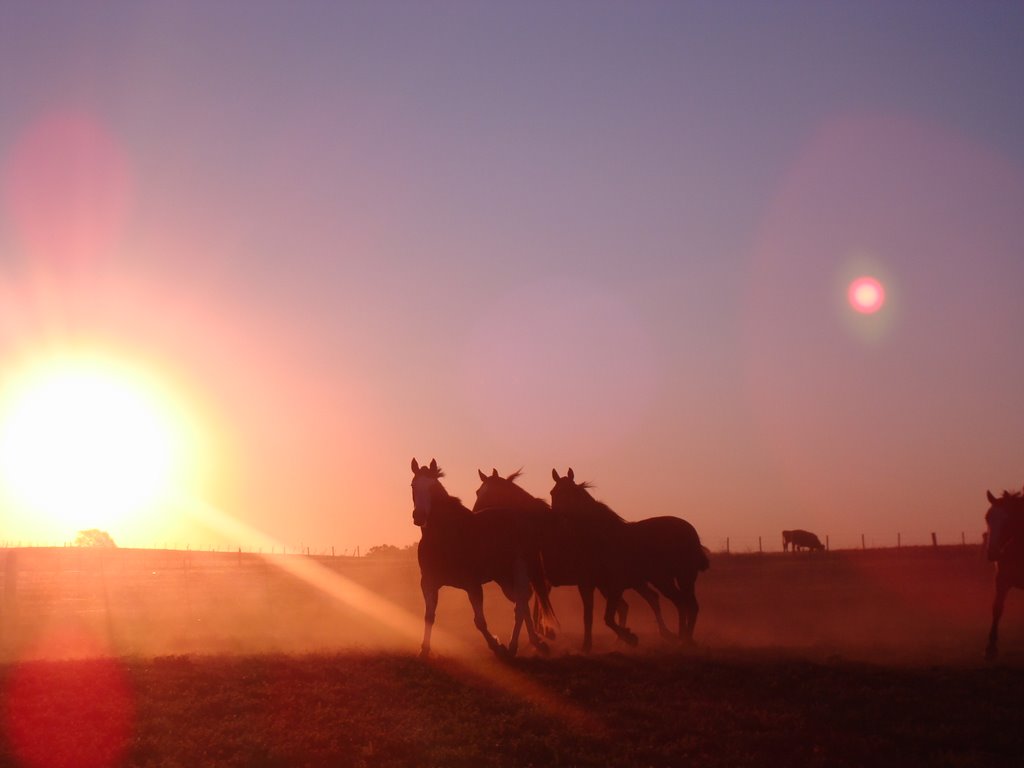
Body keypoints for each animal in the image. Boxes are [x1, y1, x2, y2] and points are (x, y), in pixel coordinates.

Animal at [409, 460, 557, 659]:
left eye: (432, 487)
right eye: (413, 485)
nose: (419, 516)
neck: (446, 533)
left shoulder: (473, 585)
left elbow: (479, 622)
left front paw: (496, 646)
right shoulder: (428, 582)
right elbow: (429, 616)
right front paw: (424, 650)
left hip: (519, 572)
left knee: (520, 604)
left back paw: (513, 646)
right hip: (505, 579)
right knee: (523, 601)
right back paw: (535, 643)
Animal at [552, 473, 712, 647]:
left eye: (569, 492)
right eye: (553, 493)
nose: (555, 516)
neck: (602, 537)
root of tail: (690, 530)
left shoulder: (613, 586)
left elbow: (609, 617)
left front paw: (629, 637)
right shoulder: (595, 585)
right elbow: (597, 616)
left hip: (681, 577)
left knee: (688, 605)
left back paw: (684, 639)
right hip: (667, 580)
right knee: (682, 603)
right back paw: (681, 637)